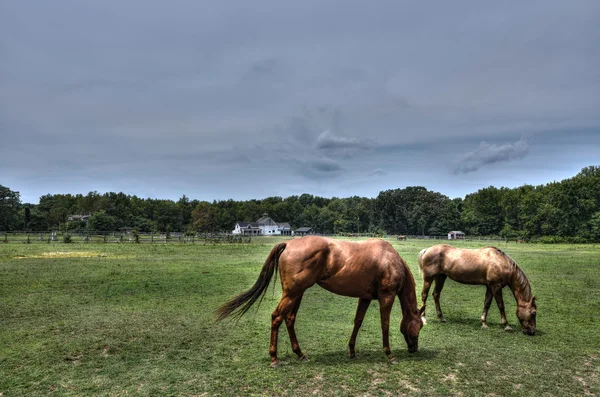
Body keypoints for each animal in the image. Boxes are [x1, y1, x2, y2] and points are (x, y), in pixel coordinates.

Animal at [218, 235, 424, 368]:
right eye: (420, 326)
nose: (414, 349)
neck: (390, 259)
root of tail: (288, 243)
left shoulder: (365, 297)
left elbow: (358, 322)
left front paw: (351, 351)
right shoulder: (386, 296)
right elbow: (385, 324)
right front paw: (389, 354)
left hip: (297, 294)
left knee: (289, 319)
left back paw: (300, 354)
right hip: (292, 293)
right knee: (277, 317)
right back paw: (274, 358)